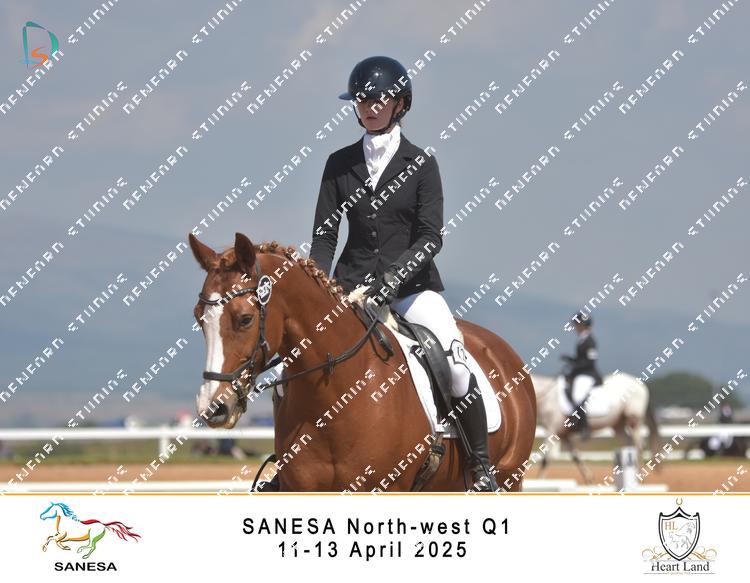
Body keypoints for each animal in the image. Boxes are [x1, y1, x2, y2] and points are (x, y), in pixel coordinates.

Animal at [189, 232, 536, 492]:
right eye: (199, 318)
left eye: (245, 319)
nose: (213, 408)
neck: (333, 396)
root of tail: (500, 349)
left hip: (510, 478)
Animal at [531, 372, 660, 484]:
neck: (547, 398)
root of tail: (641, 385)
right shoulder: (563, 435)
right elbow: (576, 456)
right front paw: (589, 478)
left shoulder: (551, 431)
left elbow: (546, 459)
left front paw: (539, 482)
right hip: (618, 425)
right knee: (628, 445)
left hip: (634, 422)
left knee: (639, 446)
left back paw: (638, 476)